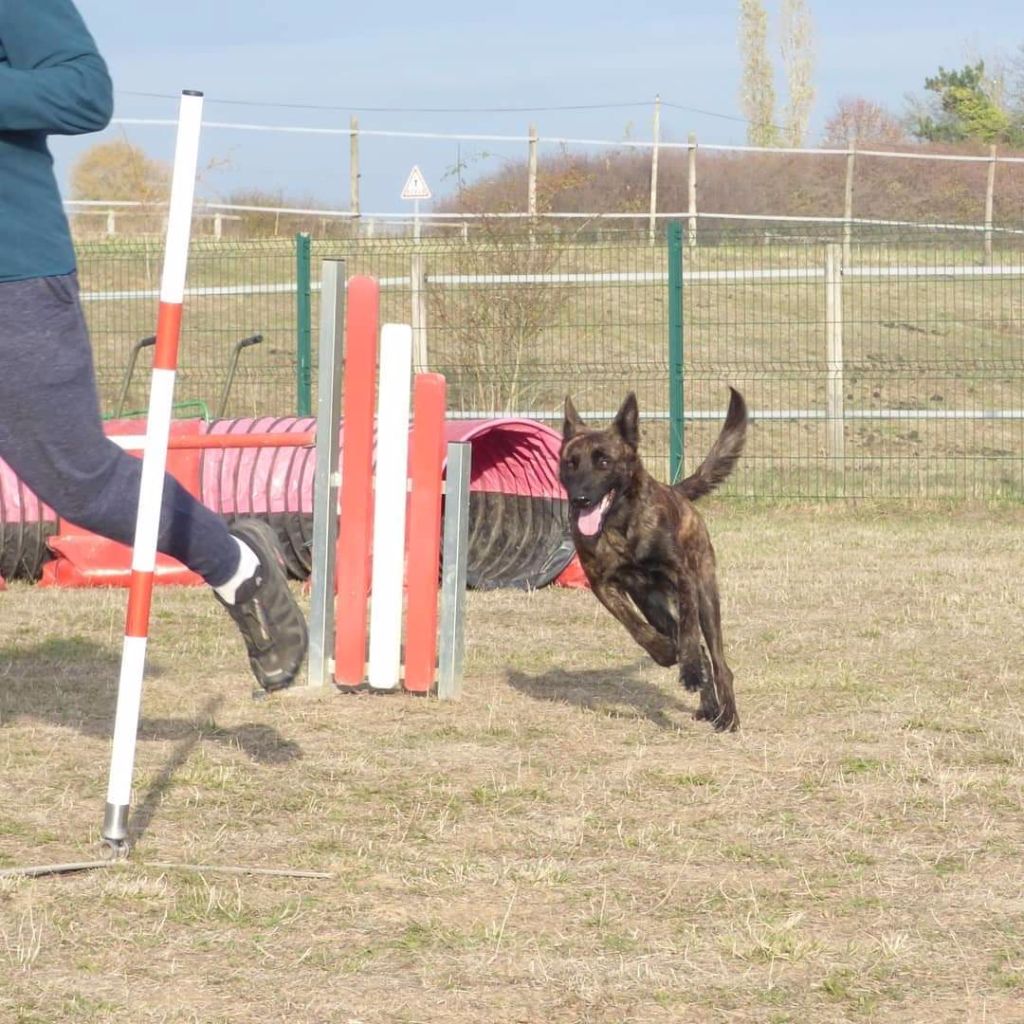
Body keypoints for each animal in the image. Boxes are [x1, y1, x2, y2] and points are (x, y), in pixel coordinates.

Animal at [557, 387, 749, 733]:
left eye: (604, 461)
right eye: (570, 463)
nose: (580, 499)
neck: (620, 524)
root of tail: (678, 491)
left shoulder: (683, 577)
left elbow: (688, 630)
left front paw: (688, 668)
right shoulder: (604, 586)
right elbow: (635, 628)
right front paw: (664, 652)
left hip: (706, 596)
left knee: (717, 659)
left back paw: (727, 714)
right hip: (654, 606)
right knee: (696, 648)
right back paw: (708, 703)